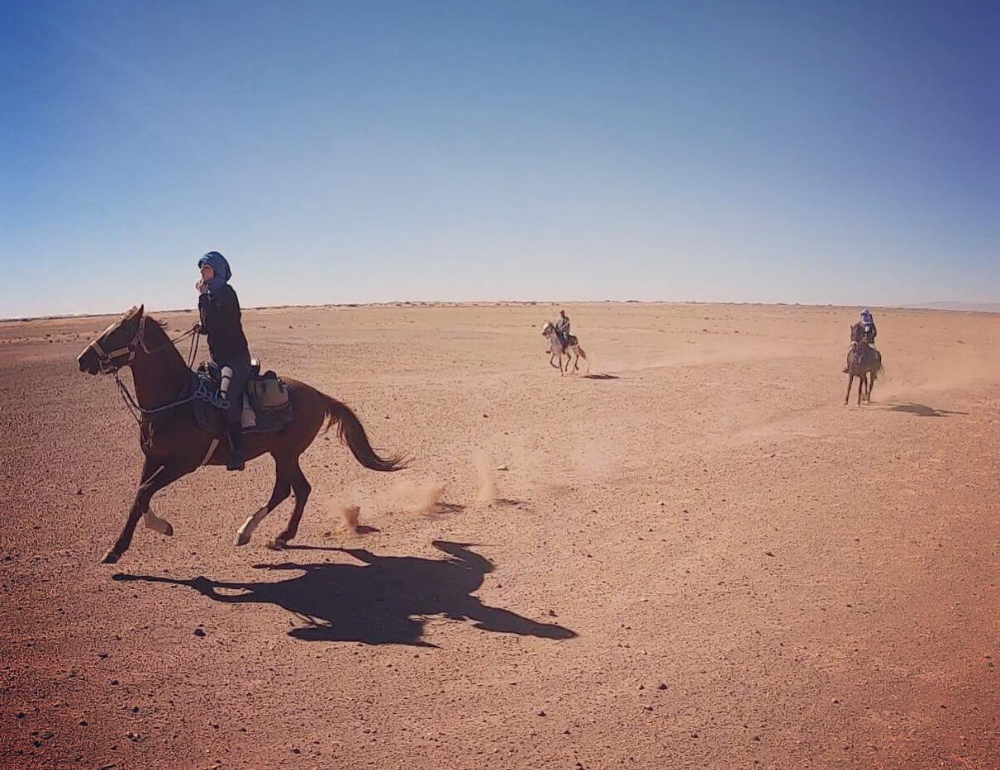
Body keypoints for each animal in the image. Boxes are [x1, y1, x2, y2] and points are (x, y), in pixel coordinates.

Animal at [77, 304, 406, 560]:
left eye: (119, 332)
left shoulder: (183, 463)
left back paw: (247, 532)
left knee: (285, 490)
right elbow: (139, 495)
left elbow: (145, 492)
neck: (175, 402)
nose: (82, 359)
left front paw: (161, 527)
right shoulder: (153, 458)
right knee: (300, 489)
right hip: (284, 453)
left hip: (286, 453)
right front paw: (116, 549)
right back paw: (282, 535)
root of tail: (318, 395)